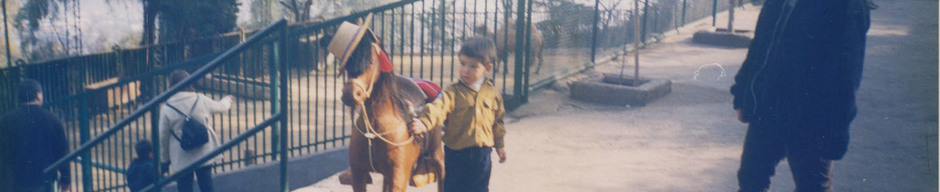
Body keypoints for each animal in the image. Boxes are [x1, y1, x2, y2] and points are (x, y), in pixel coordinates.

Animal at [340, 37, 442, 192]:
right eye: (348, 63)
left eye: (371, 61)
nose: (349, 94)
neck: (376, 128)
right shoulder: (358, 174)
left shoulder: (398, 177)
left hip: (437, 155)